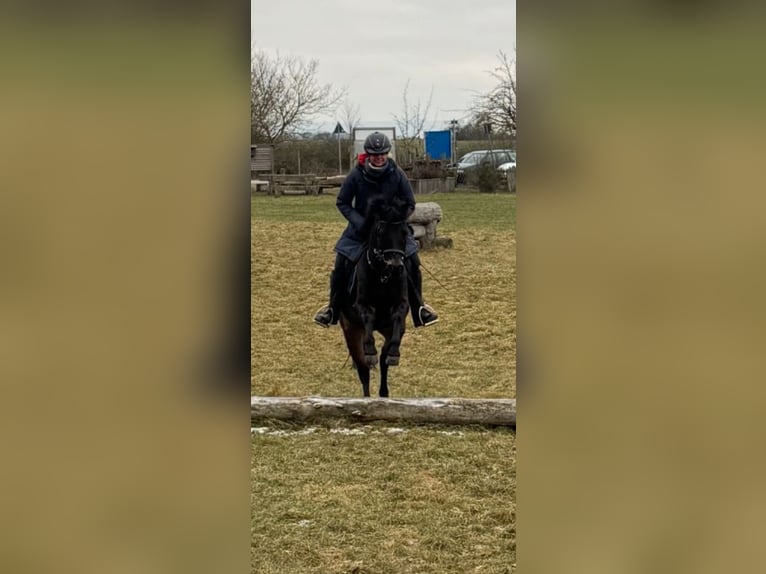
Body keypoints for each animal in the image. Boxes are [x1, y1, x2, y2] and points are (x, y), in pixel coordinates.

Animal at [339, 198, 411, 398]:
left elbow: (397, 321)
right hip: (351, 330)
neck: (382, 275)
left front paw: (394, 353)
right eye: (380, 231)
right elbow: (369, 316)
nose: (396, 266)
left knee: (383, 361)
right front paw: (370, 350)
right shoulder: (361, 305)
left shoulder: (400, 307)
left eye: (404, 232)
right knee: (363, 369)